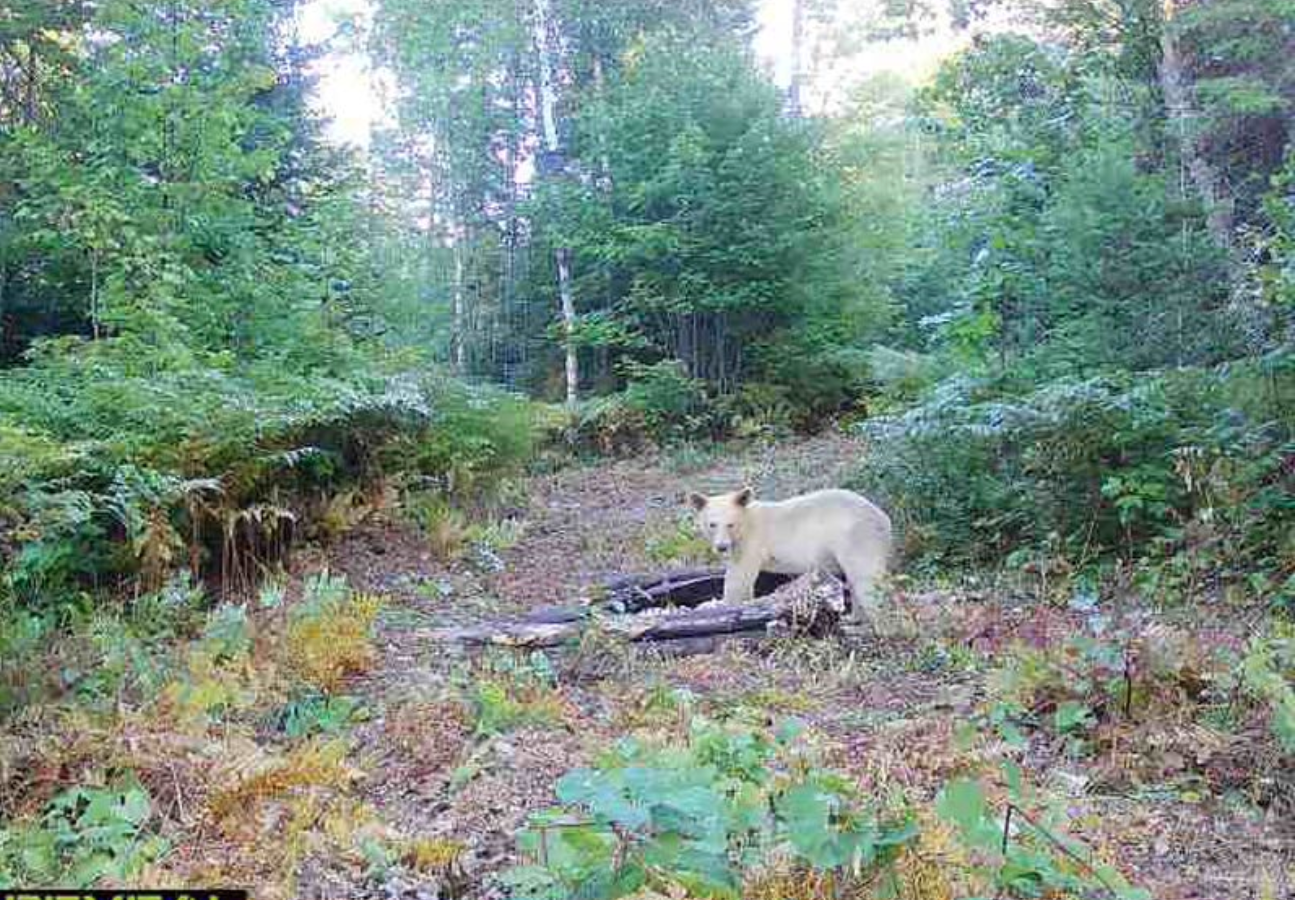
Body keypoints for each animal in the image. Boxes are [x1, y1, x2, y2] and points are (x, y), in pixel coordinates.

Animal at [687, 486, 892, 623]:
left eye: (731, 524)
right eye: (712, 524)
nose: (721, 547)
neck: (746, 522)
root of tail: (884, 519)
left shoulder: (752, 542)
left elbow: (738, 578)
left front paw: (720, 606)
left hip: (857, 537)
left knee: (865, 579)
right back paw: (854, 618)